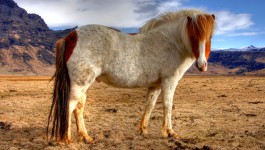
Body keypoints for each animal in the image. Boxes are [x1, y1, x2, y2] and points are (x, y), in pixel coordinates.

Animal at [46, 9, 214, 143]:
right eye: (193, 36)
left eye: (210, 37)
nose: (202, 65)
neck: (171, 42)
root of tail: (71, 36)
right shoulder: (169, 81)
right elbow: (167, 105)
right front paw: (170, 132)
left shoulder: (155, 85)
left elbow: (149, 105)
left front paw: (143, 130)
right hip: (80, 84)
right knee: (69, 106)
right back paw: (67, 139)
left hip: (83, 84)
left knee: (79, 107)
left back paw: (86, 137)